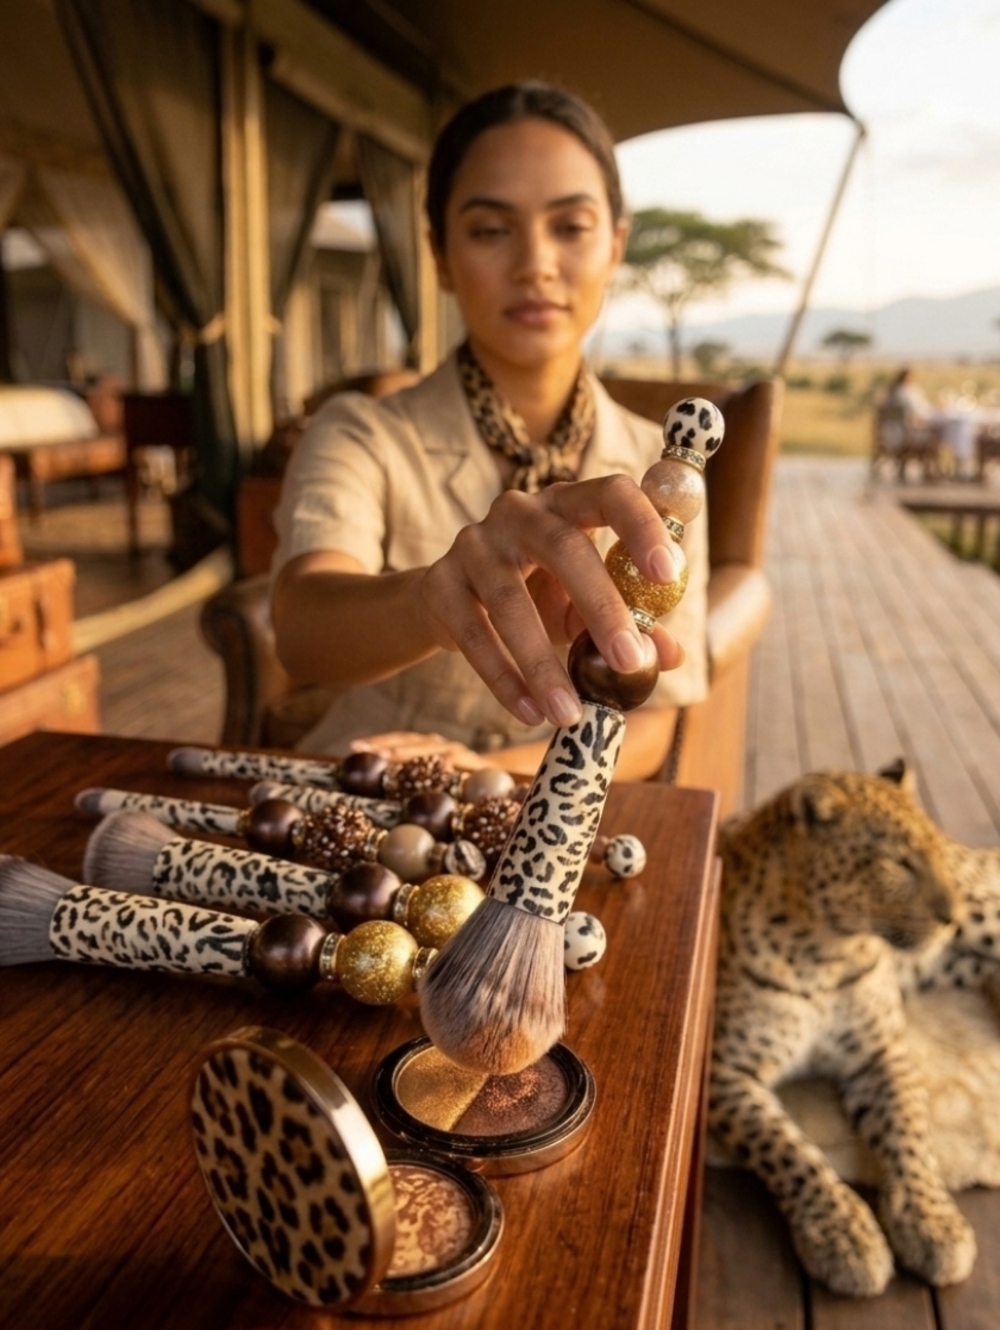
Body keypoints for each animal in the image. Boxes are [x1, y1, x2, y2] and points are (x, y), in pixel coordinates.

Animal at [709, 763, 978, 1297]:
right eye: (898, 863)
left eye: (933, 855)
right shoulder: (724, 1070)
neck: (822, 953)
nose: (953, 920)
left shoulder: (881, 1052)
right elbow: (787, 1150)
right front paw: (843, 1236)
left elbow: (909, 1137)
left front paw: (933, 1224)